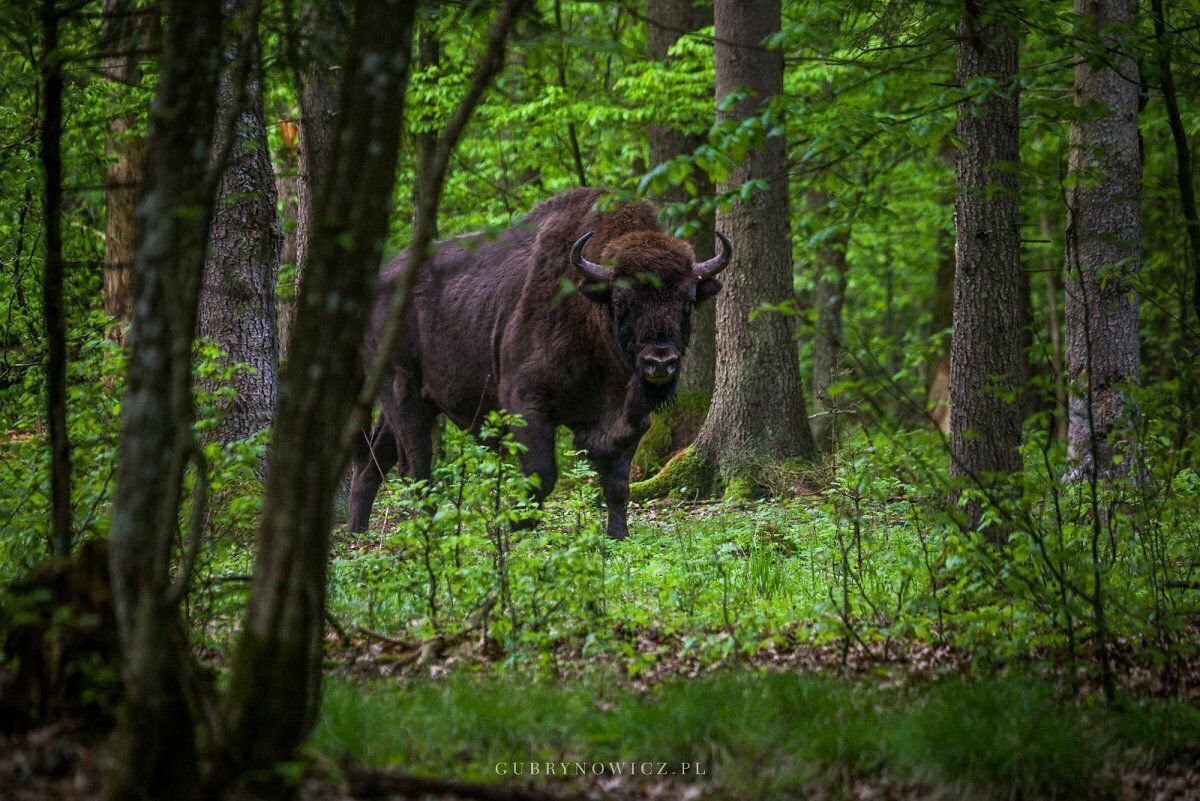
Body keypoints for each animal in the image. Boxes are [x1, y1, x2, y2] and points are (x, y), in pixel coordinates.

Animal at [343, 187, 724, 537]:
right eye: (620, 300)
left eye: (689, 300)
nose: (659, 362)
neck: (588, 310)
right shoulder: (525, 402)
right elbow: (541, 475)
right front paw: (518, 530)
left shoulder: (628, 421)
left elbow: (617, 484)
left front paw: (619, 535)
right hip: (402, 391)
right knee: (415, 467)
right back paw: (429, 534)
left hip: (407, 400)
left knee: (372, 463)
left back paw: (357, 533)